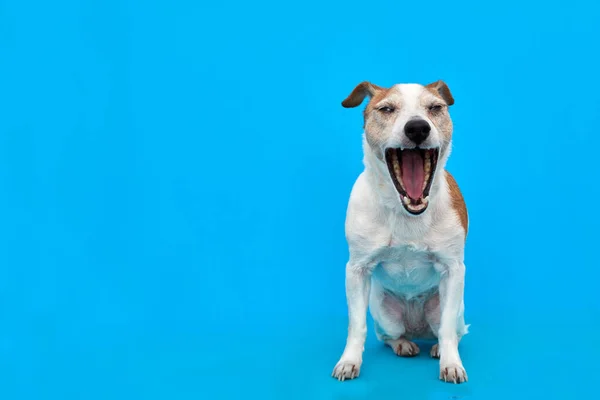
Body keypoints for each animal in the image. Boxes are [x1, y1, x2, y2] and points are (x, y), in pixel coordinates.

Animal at [332, 79, 468, 382]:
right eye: (386, 109)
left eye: (435, 107)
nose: (417, 127)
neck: (406, 213)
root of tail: (418, 329)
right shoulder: (356, 270)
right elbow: (356, 325)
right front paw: (349, 361)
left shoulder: (454, 269)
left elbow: (446, 328)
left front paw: (451, 363)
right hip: (384, 313)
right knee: (388, 335)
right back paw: (403, 343)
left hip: (452, 308)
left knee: (449, 330)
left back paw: (438, 348)